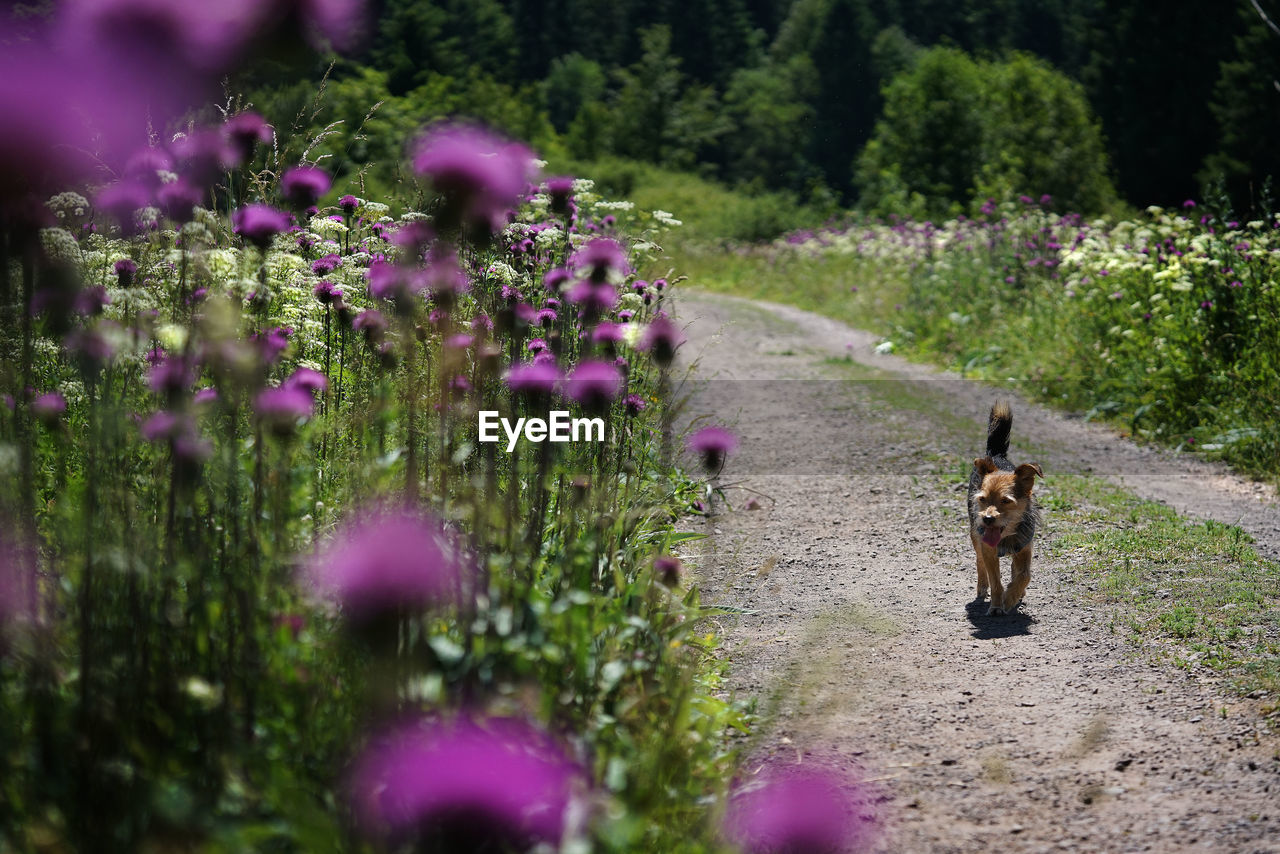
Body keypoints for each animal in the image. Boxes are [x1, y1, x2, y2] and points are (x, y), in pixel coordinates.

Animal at [967, 404, 1039, 617]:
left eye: (1006, 501)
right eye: (982, 499)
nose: (988, 518)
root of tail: (995, 455)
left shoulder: (1024, 548)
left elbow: (1024, 575)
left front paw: (1012, 597)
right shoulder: (988, 550)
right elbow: (995, 580)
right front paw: (999, 605)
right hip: (976, 537)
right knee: (979, 562)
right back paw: (982, 587)